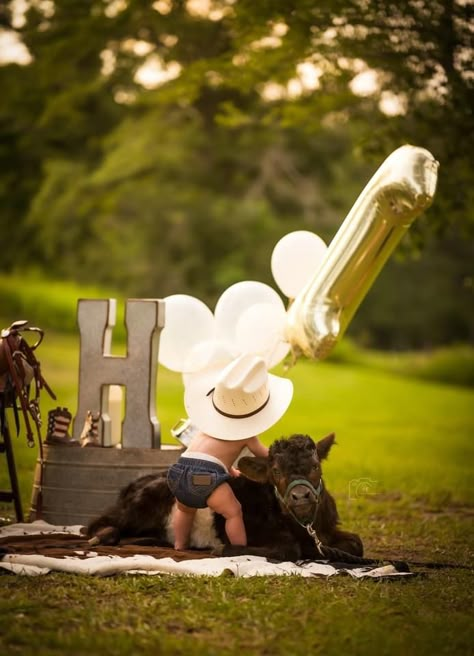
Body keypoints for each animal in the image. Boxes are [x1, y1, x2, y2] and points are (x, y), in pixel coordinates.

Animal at [87, 434, 362, 560]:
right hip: (139, 507)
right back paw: (102, 536)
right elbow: (288, 549)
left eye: (315, 466)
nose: (300, 495)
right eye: (275, 471)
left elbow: (357, 544)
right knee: (96, 524)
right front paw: (223, 548)